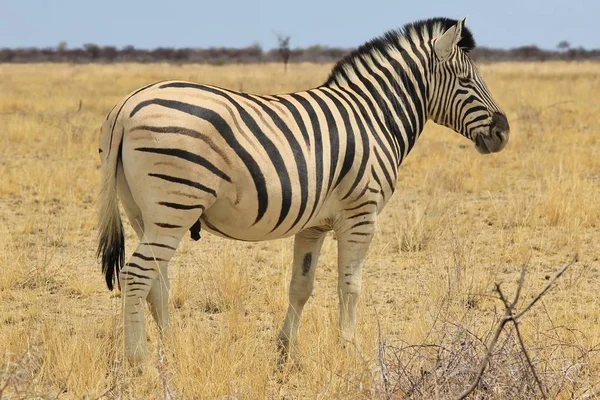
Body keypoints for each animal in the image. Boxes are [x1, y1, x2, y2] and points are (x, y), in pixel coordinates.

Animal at [98, 16, 510, 366]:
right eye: (466, 81)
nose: (503, 133)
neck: (374, 117)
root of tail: (126, 106)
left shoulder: (313, 224)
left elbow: (300, 286)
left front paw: (284, 353)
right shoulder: (361, 216)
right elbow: (350, 287)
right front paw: (350, 352)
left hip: (143, 212)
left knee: (156, 281)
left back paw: (173, 349)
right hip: (174, 206)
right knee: (136, 275)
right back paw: (139, 362)